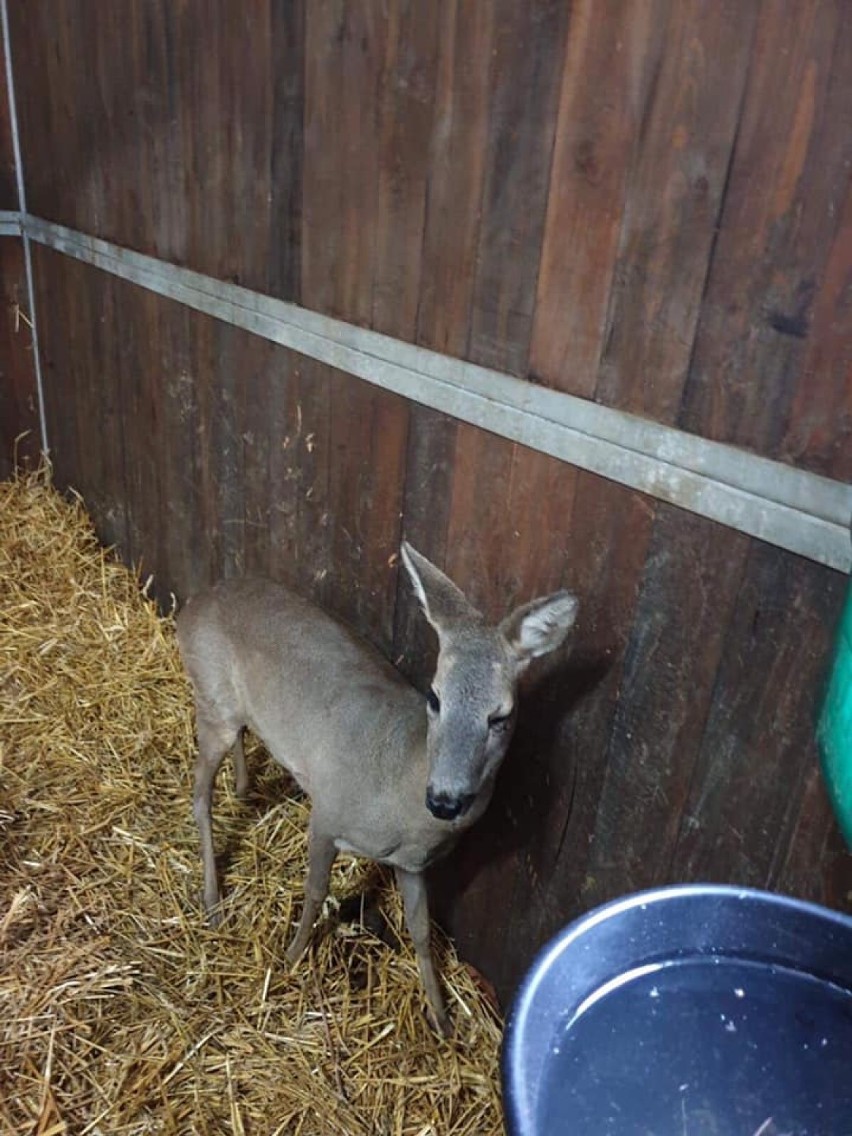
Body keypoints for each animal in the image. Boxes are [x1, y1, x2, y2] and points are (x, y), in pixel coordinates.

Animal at [179, 545, 581, 1036]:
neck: (397, 784)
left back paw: (241, 789)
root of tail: (196, 602)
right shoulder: (327, 811)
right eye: (434, 696)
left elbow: (421, 929)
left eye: (500, 716)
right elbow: (316, 890)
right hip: (210, 697)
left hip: (231, 710)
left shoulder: (411, 864)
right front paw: (291, 957)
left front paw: (441, 1018)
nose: (444, 800)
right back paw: (213, 901)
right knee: (199, 795)